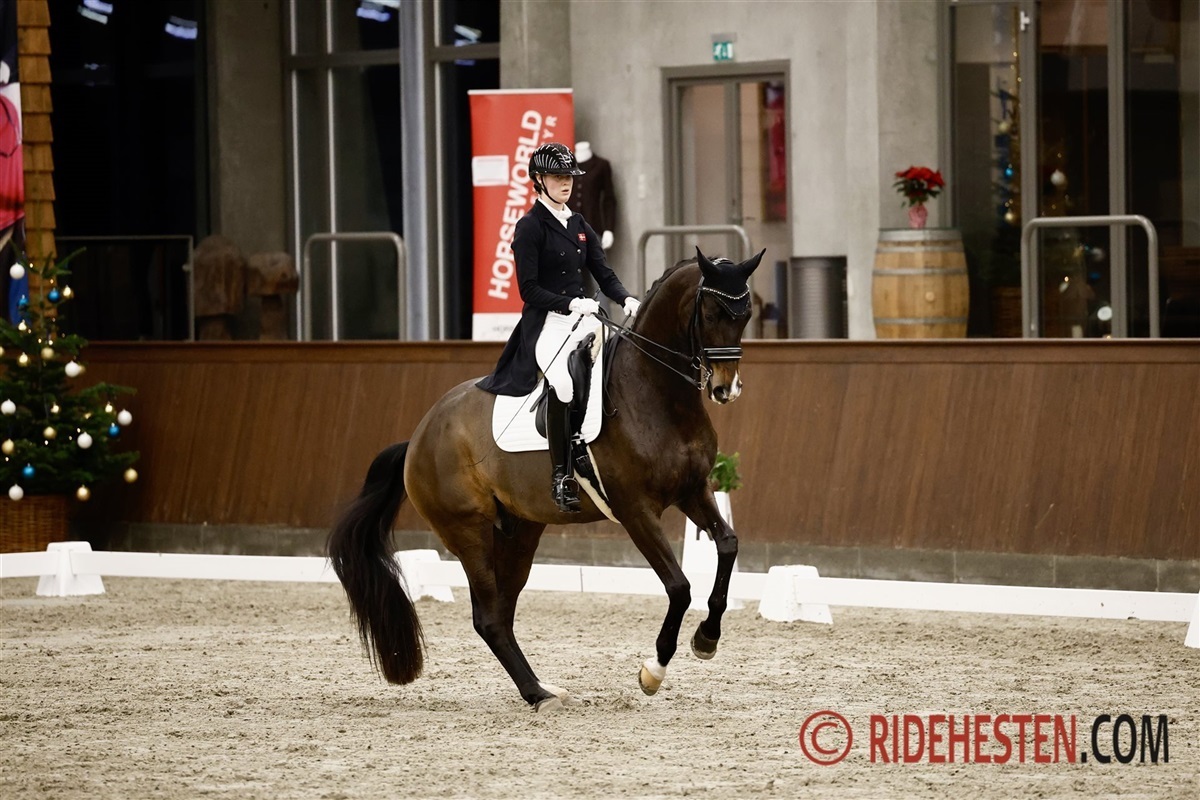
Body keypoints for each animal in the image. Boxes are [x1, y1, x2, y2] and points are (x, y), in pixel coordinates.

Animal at [327, 246, 765, 711]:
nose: (725, 390)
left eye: (745, 314)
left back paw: (542, 689)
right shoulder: (635, 511)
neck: (657, 394)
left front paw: (707, 638)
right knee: (488, 617)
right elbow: (679, 586)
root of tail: (419, 436)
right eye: (712, 311)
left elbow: (728, 545)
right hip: (467, 530)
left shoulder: (693, 491)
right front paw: (654, 670)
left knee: (501, 613)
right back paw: (537, 693)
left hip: (519, 530)